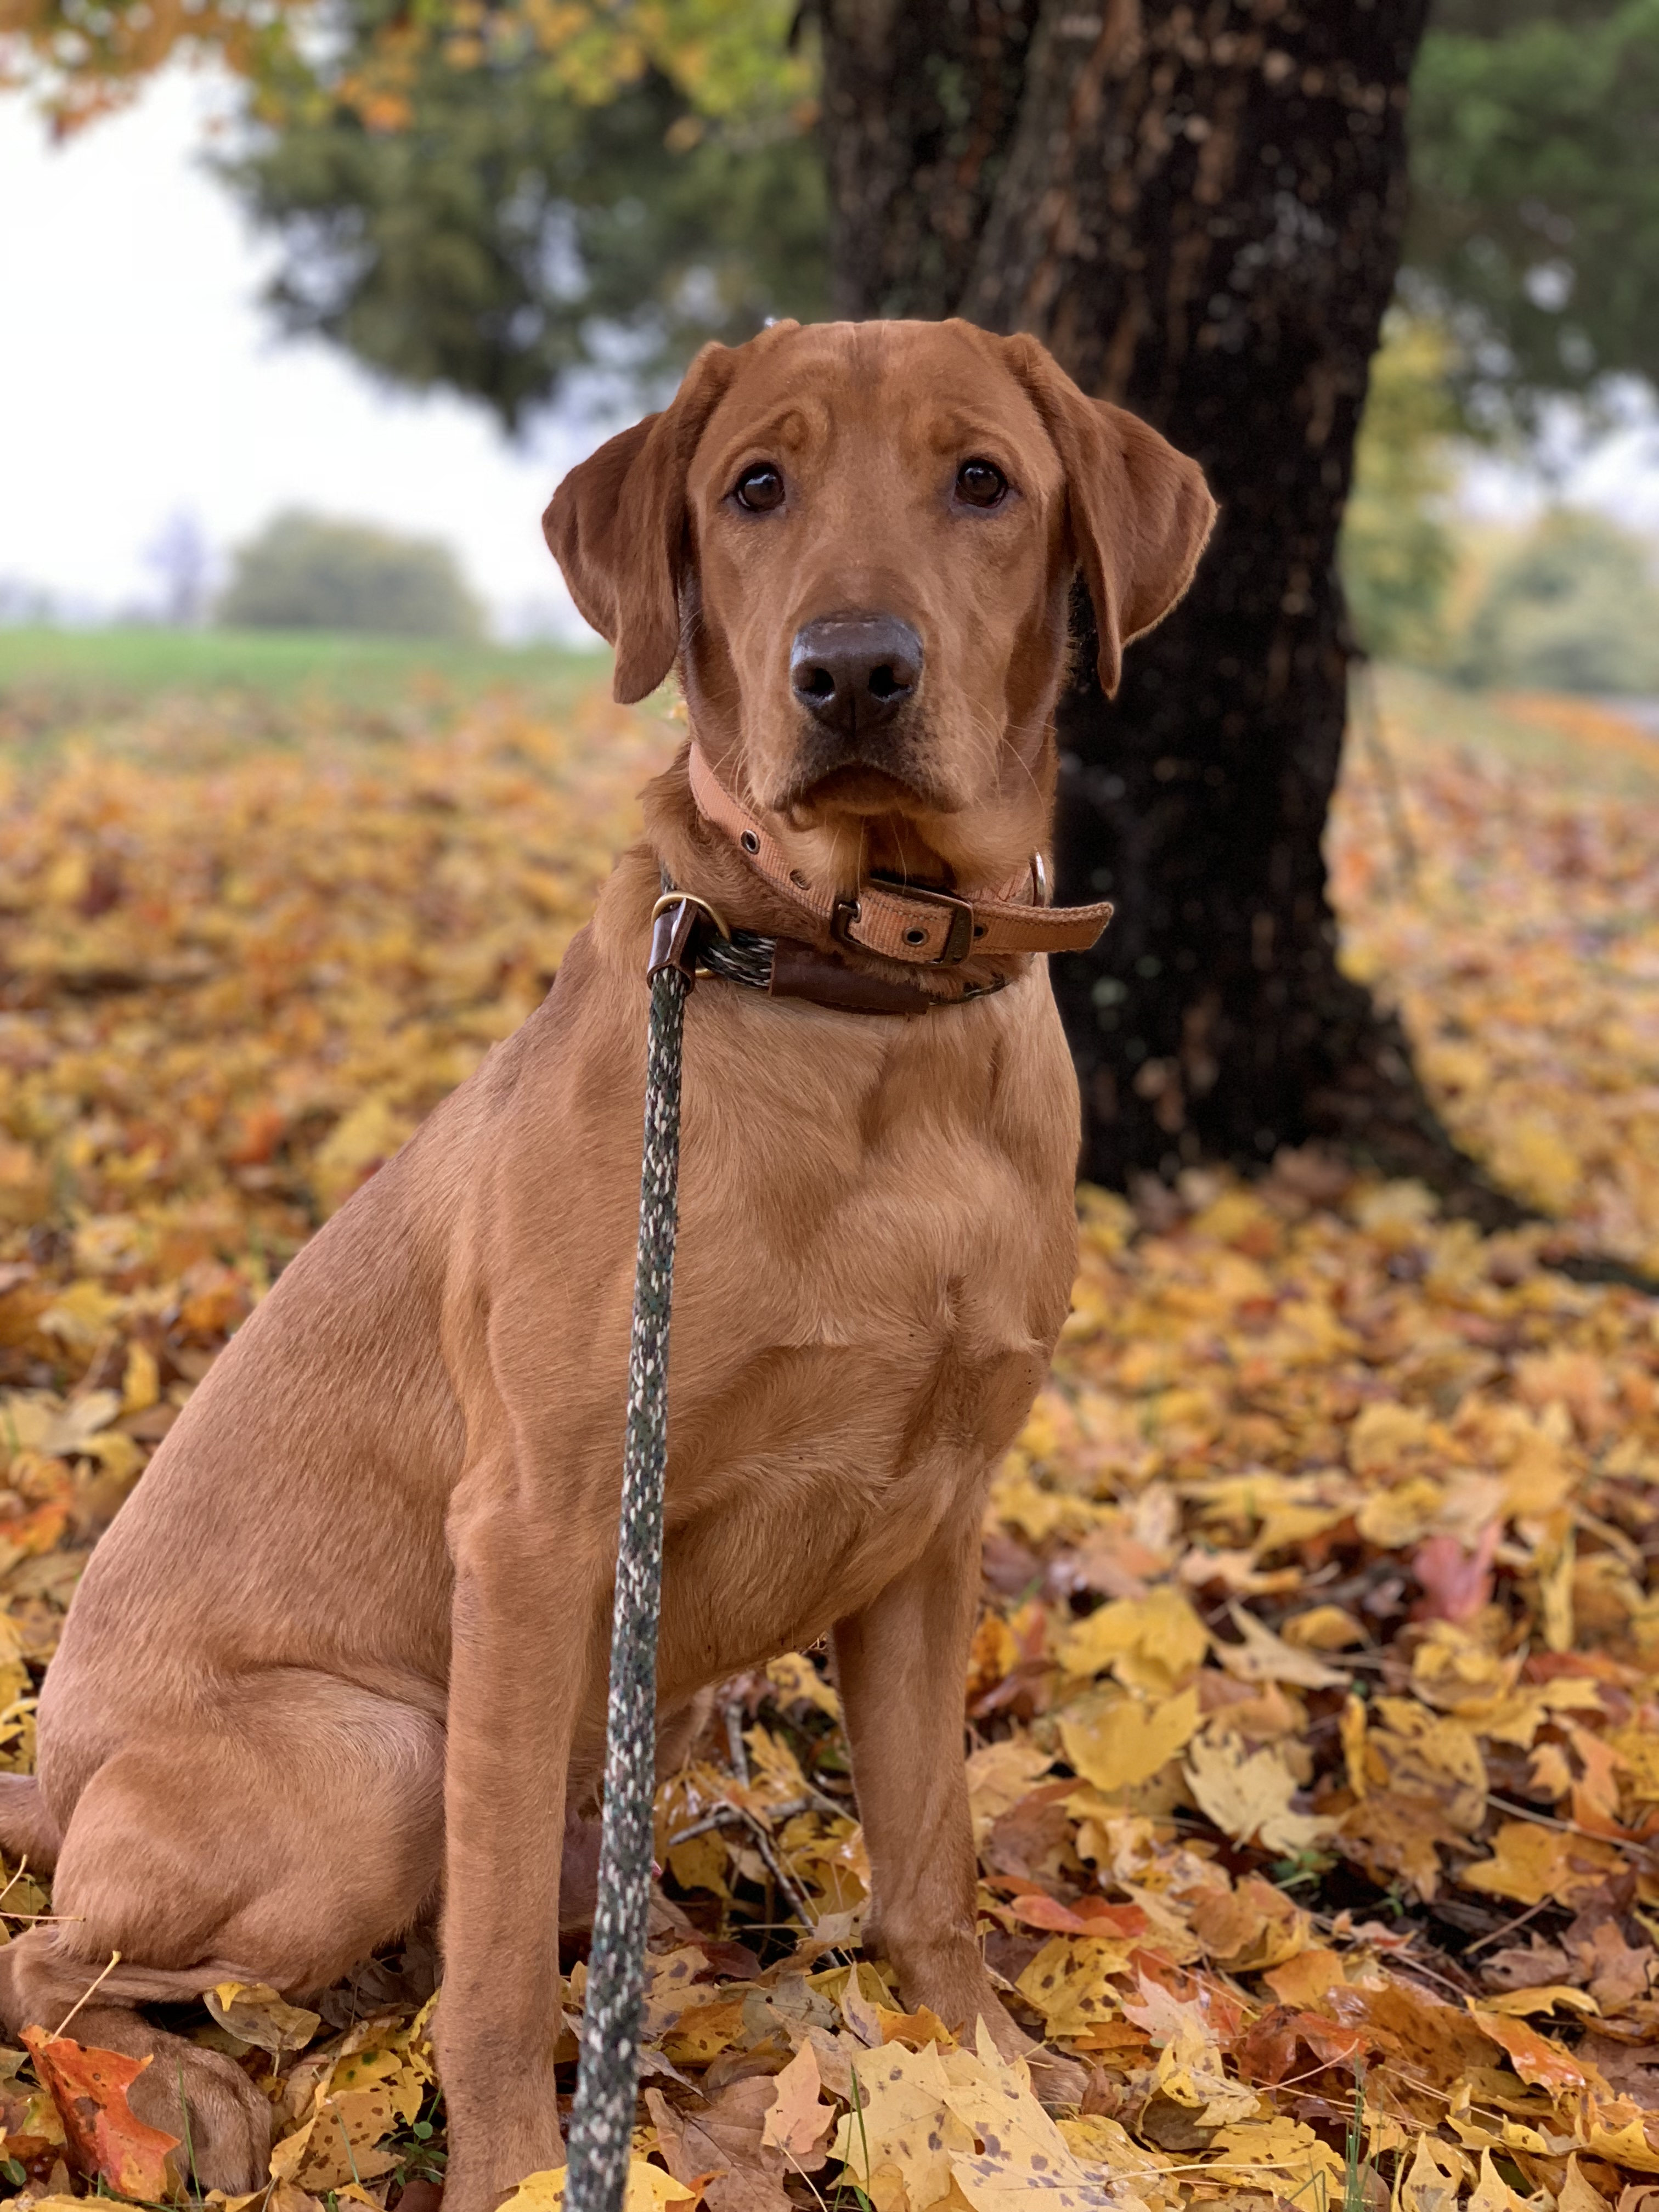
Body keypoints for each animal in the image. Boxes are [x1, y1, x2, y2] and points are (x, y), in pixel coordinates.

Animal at [0, 316, 1212, 2212]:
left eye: (985, 481)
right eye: (756, 486)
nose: (850, 673)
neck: (865, 1009)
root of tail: (57, 1783)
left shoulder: (934, 1529)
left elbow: (931, 1870)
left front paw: (1001, 2099)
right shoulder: (543, 1522)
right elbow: (495, 1961)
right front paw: (514, 2169)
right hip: (379, 1759)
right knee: (54, 1958)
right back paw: (177, 2098)